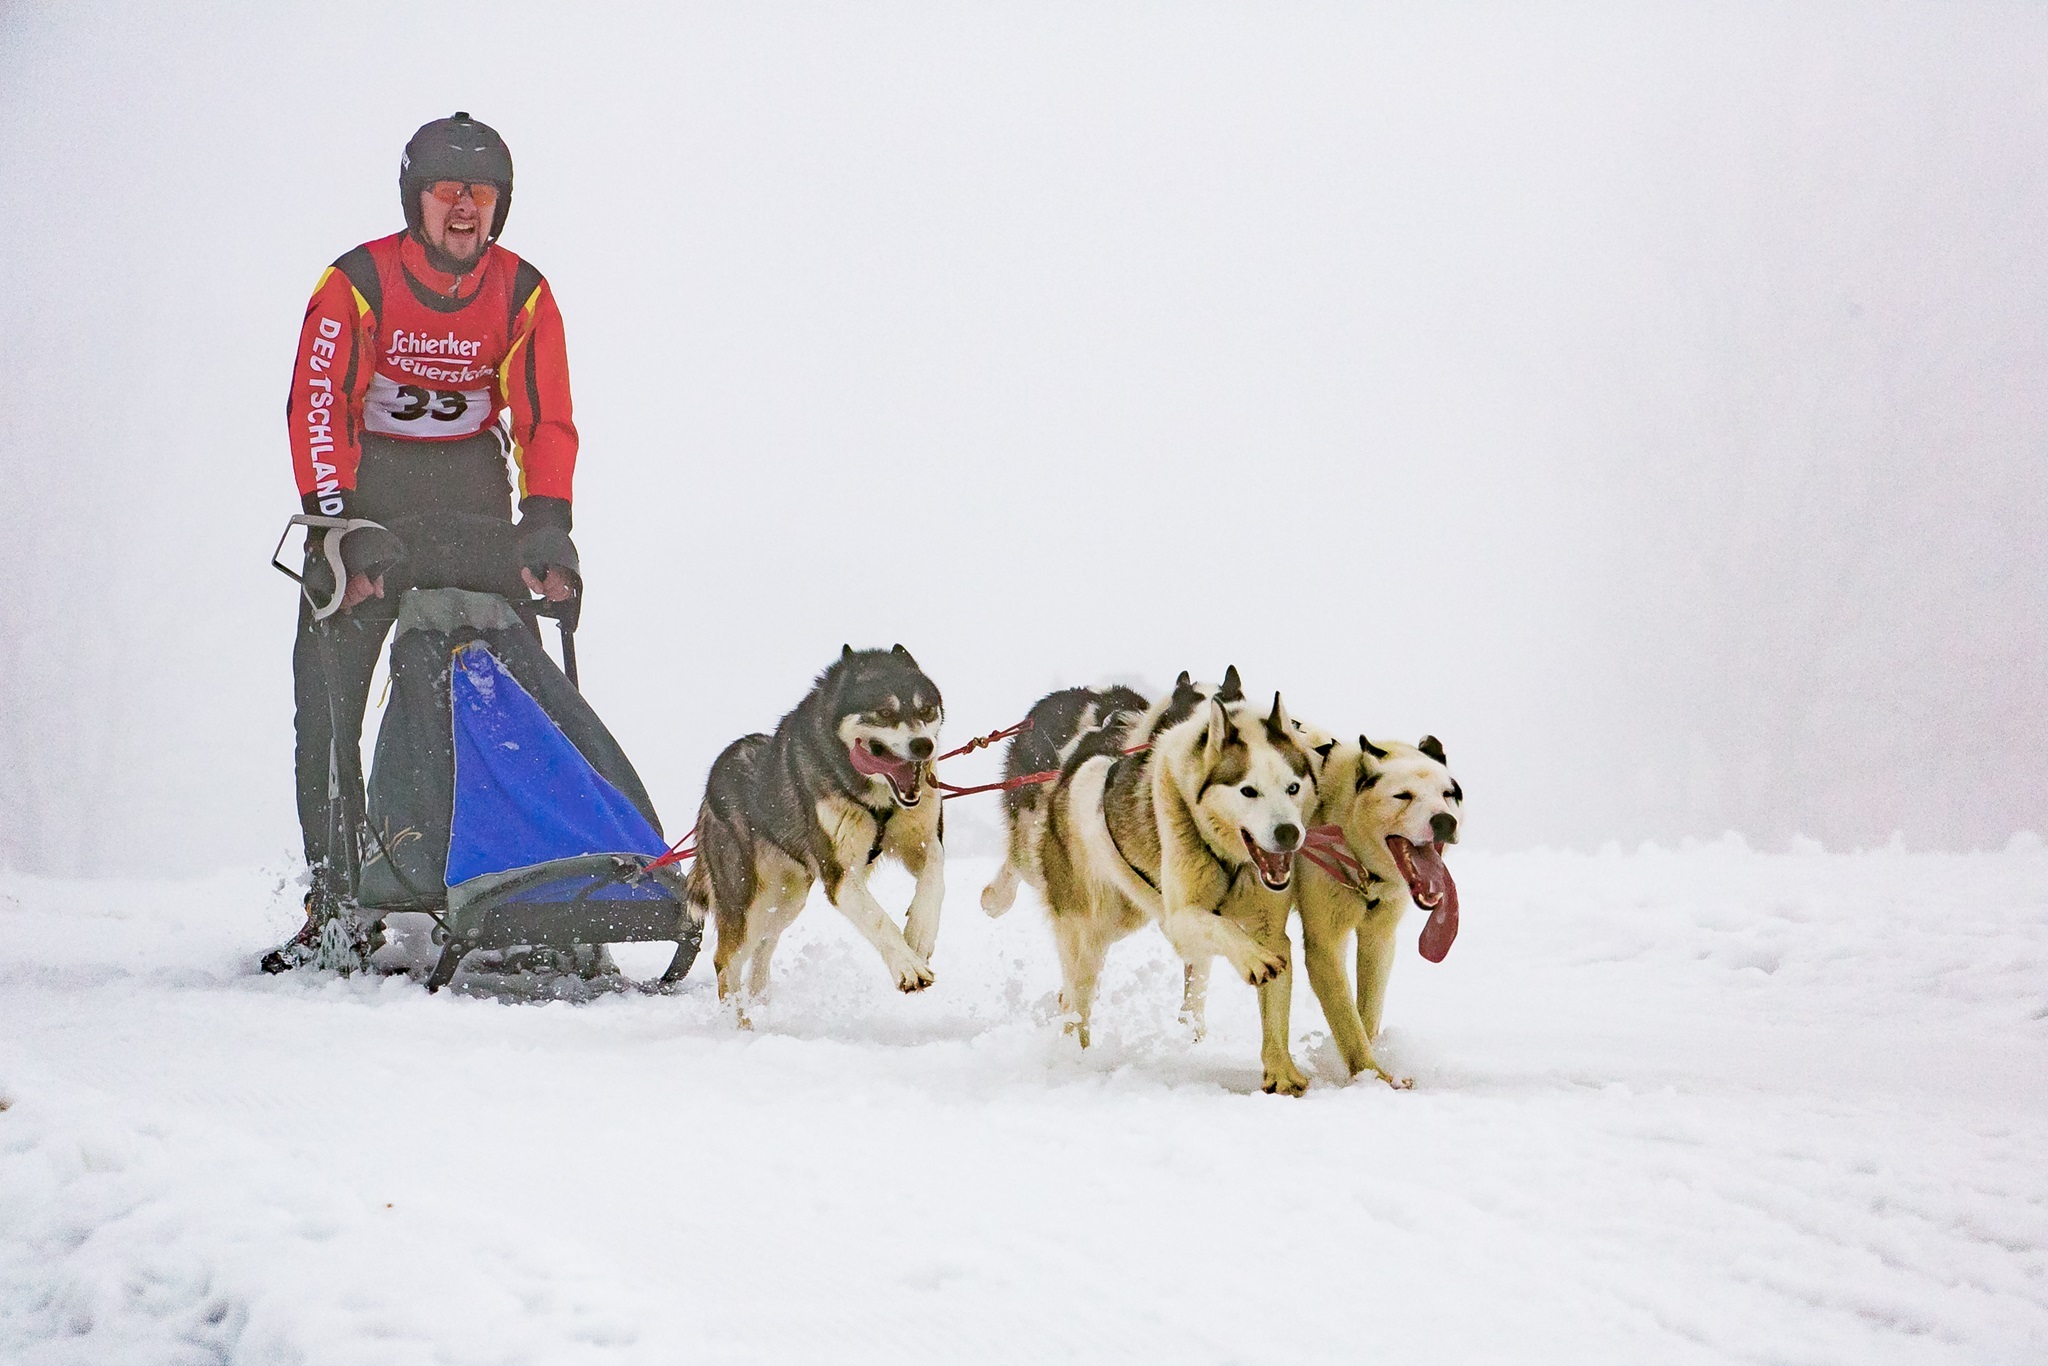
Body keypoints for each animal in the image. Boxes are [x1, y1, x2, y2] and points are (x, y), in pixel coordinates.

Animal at [684, 645, 946, 1013]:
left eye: (925, 710)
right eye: (883, 712)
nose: (924, 745)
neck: (877, 800)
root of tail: (710, 792)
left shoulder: (923, 841)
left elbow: (935, 877)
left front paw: (920, 933)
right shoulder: (840, 876)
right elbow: (877, 918)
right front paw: (907, 966)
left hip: (786, 900)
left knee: (762, 948)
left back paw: (762, 1005)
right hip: (743, 900)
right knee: (727, 961)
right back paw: (739, 1021)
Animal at [1027, 673, 1321, 1094]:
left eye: (1293, 787)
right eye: (1248, 790)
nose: (1288, 833)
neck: (1230, 859)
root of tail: (1076, 767)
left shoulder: (1271, 930)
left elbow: (1275, 1006)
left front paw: (1281, 1071)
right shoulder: (1180, 918)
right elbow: (1222, 927)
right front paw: (1251, 959)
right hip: (1091, 928)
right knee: (1077, 998)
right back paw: (1075, 1056)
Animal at [1295, 734, 1463, 1086]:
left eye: (1448, 794)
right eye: (1403, 795)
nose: (1444, 820)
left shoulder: (1379, 936)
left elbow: (1368, 1012)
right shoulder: (1325, 945)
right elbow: (1347, 1019)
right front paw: (1372, 1075)